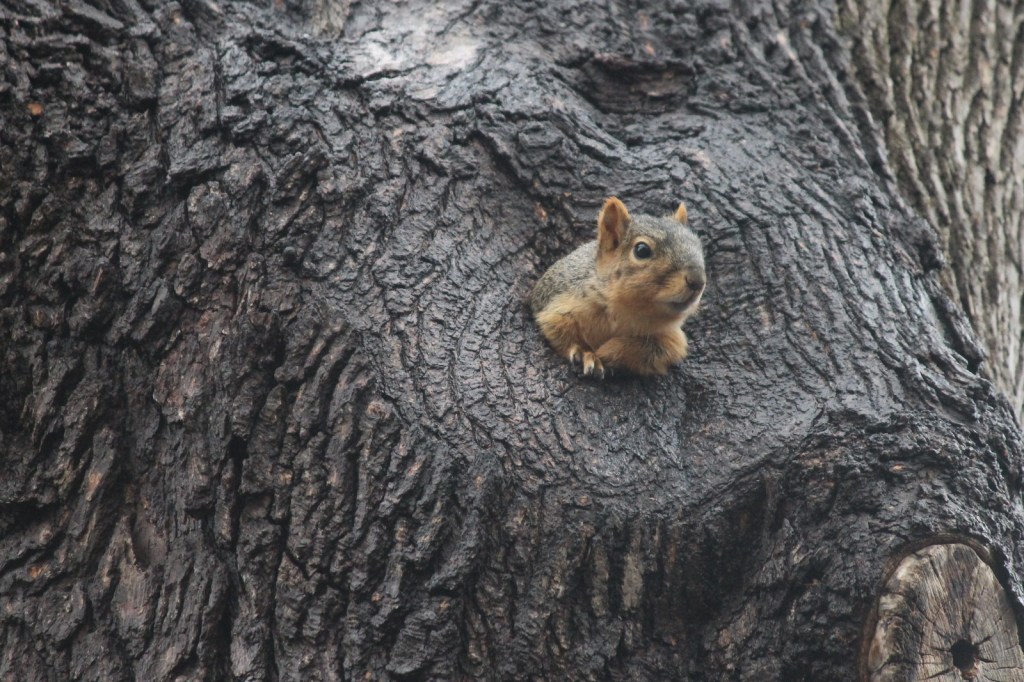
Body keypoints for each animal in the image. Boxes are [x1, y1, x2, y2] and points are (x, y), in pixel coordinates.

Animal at [529, 196, 706, 378]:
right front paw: (585, 353)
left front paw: (607, 352)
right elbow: (560, 331)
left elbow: (653, 350)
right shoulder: (559, 306)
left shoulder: (671, 338)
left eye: (698, 247)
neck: (625, 311)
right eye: (642, 250)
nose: (697, 280)